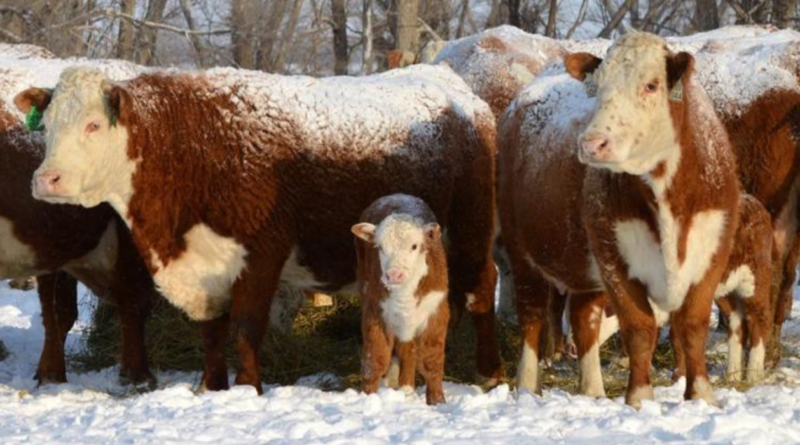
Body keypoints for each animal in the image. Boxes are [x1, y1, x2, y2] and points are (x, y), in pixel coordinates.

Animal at [352, 194, 450, 406]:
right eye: (380, 247)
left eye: (414, 246)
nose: (394, 275)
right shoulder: (375, 312)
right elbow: (374, 360)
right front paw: (367, 397)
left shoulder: (436, 311)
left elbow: (431, 360)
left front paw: (438, 402)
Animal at [500, 31, 736, 406]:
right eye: (597, 87)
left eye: (651, 85)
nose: (592, 143)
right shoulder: (614, 256)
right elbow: (639, 327)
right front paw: (639, 398)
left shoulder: (713, 250)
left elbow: (693, 324)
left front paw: (701, 395)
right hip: (521, 251)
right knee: (532, 316)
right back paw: (527, 385)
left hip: (583, 265)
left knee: (583, 320)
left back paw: (592, 390)